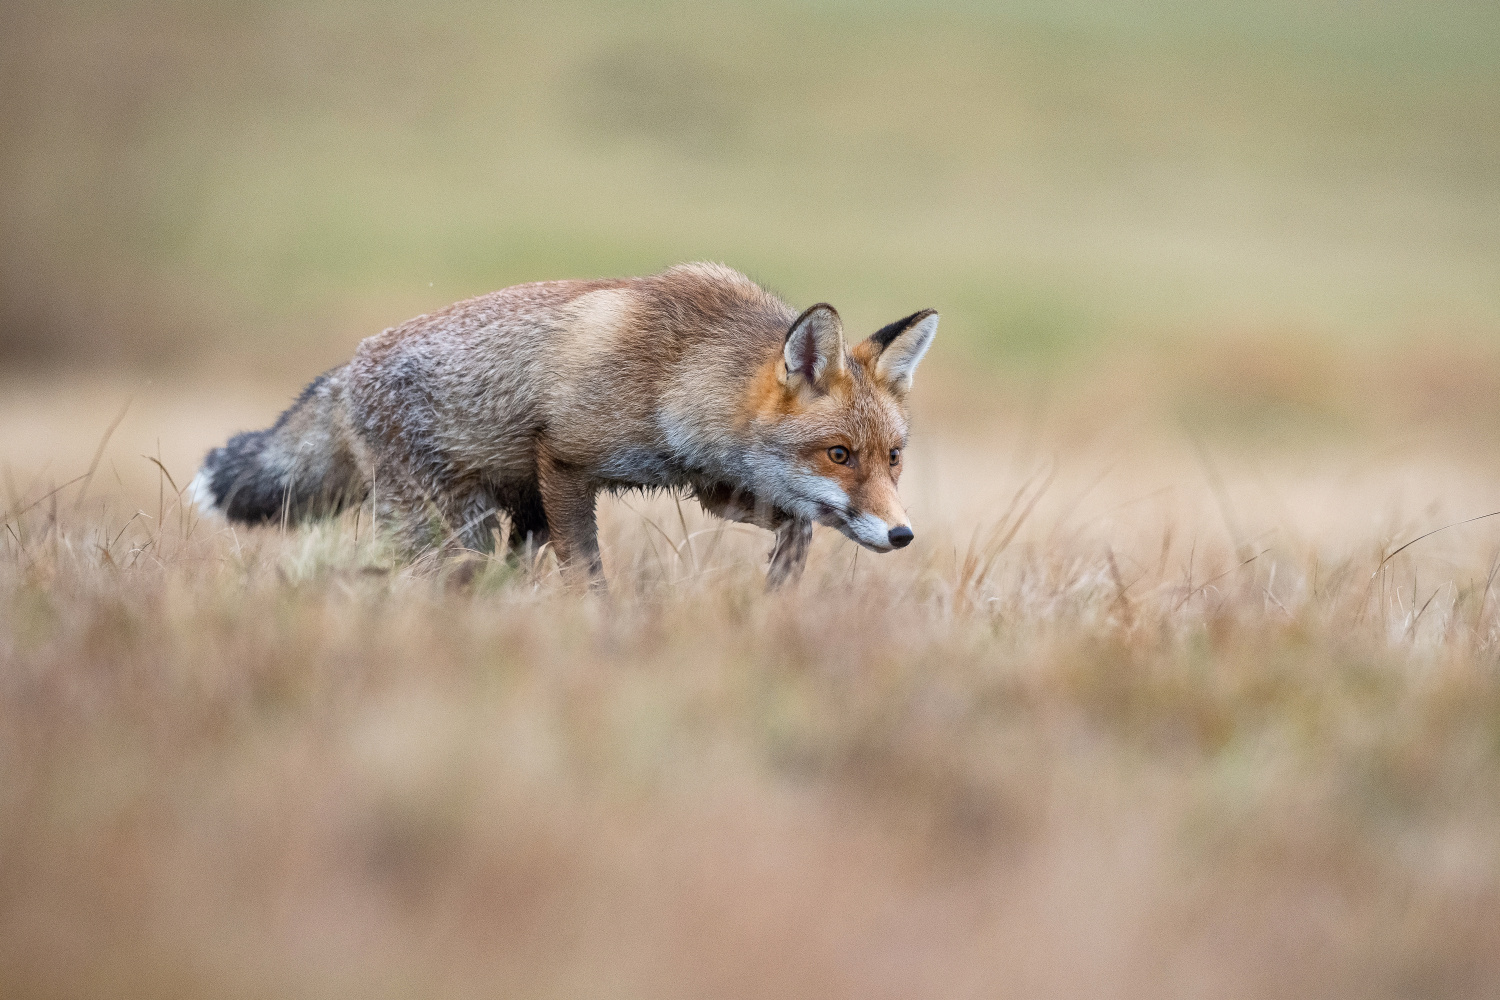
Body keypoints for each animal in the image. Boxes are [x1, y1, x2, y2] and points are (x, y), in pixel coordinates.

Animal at [187, 262, 936, 587]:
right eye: (839, 454)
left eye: (893, 457)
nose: (903, 535)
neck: (677, 369)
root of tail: (349, 368)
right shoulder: (568, 464)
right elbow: (590, 577)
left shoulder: (709, 480)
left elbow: (798, 524)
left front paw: (778, 586)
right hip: (444, 527)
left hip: (508, 520)